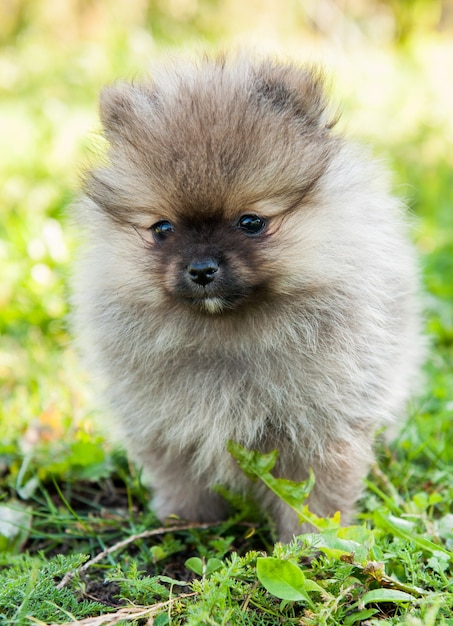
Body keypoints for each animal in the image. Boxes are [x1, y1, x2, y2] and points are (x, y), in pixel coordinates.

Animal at [72, 53, 422, 540]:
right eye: (162, 229)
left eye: (251, 222)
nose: (201, 269)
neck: (226, 337)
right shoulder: (165, 423)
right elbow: (181, 479)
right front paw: (187, 526)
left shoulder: (320, 426)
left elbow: (315, 494)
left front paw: (310, 542)